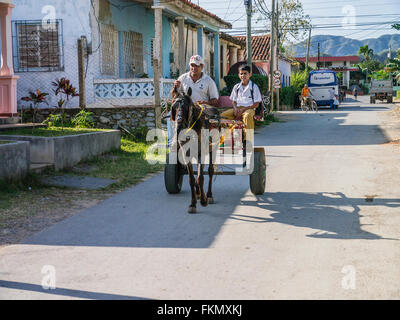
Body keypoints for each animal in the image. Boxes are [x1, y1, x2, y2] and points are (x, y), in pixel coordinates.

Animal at [169, 86, 219, 214]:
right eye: (174, 106)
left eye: (186, 106)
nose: (179, 122)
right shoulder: (186, 153)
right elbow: (192, 179)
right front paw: (193, 203)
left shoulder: (201, 153)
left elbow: (200, 177)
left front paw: (203, 200)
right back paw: (198, 193)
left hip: (213, 148)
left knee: (210, 171)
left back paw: (209, 195)